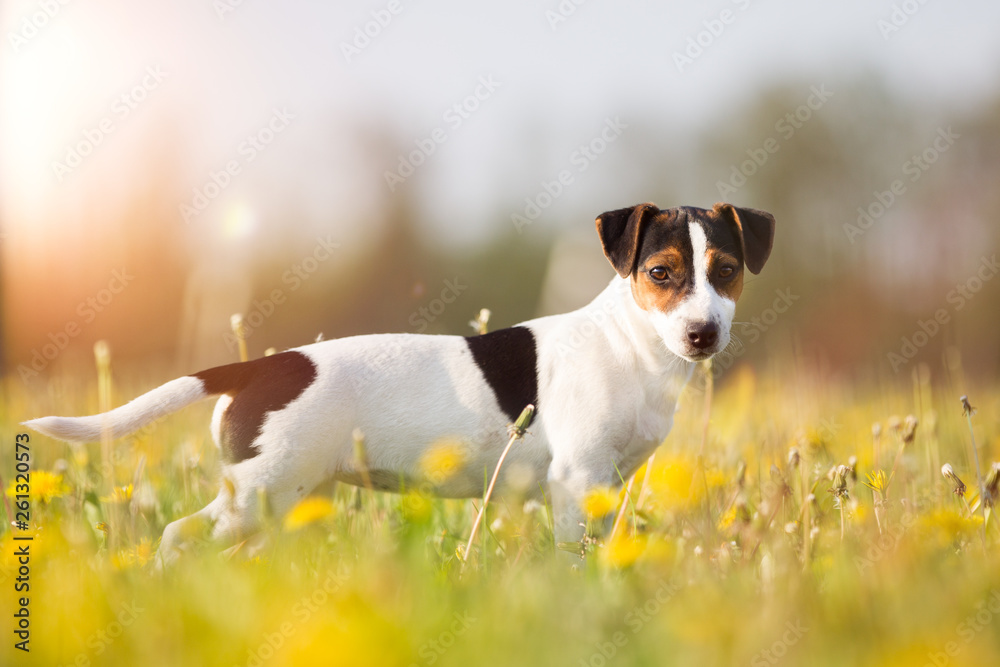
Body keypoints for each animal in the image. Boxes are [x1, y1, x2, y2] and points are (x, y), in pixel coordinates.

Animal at [23, 201, 772, 560]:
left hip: (285, 498)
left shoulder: (606, 486)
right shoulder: (575, 479)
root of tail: (261, 365)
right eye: (661, 273)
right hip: (257, 495)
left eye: (727, 271)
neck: (630, 345)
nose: (702, 334)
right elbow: (571, 556)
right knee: (179, 536)